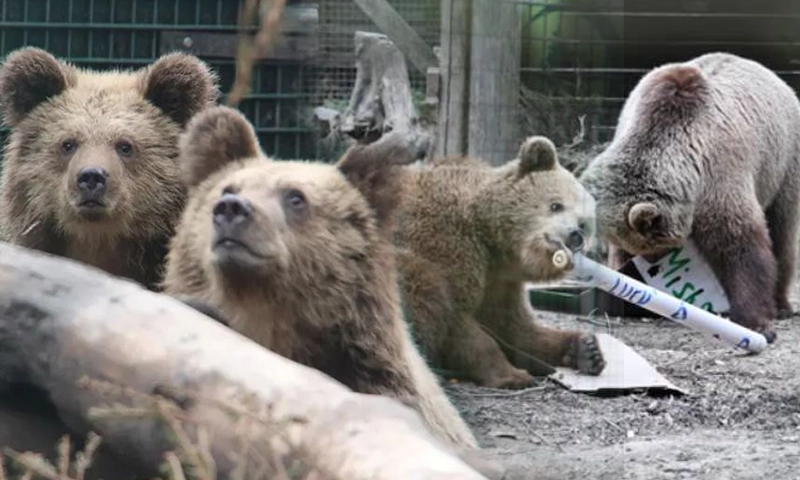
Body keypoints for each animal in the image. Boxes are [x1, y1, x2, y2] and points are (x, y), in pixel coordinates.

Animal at [393, 135, 606, 390]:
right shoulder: (444, 241)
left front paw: (587, 349)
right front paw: (513, 375)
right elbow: (460, 319)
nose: (574, 235)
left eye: (584, 224)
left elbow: (515, 328)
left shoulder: (501, 282)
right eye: (556, 205)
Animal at [579, 52, 800, 344]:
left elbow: (741, 249)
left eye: (652, 246)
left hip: (782, 163)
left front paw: (756, 323)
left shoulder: (719, 176)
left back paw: (782, 304)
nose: (650, 265)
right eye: (639, 248)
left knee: (782, 230)